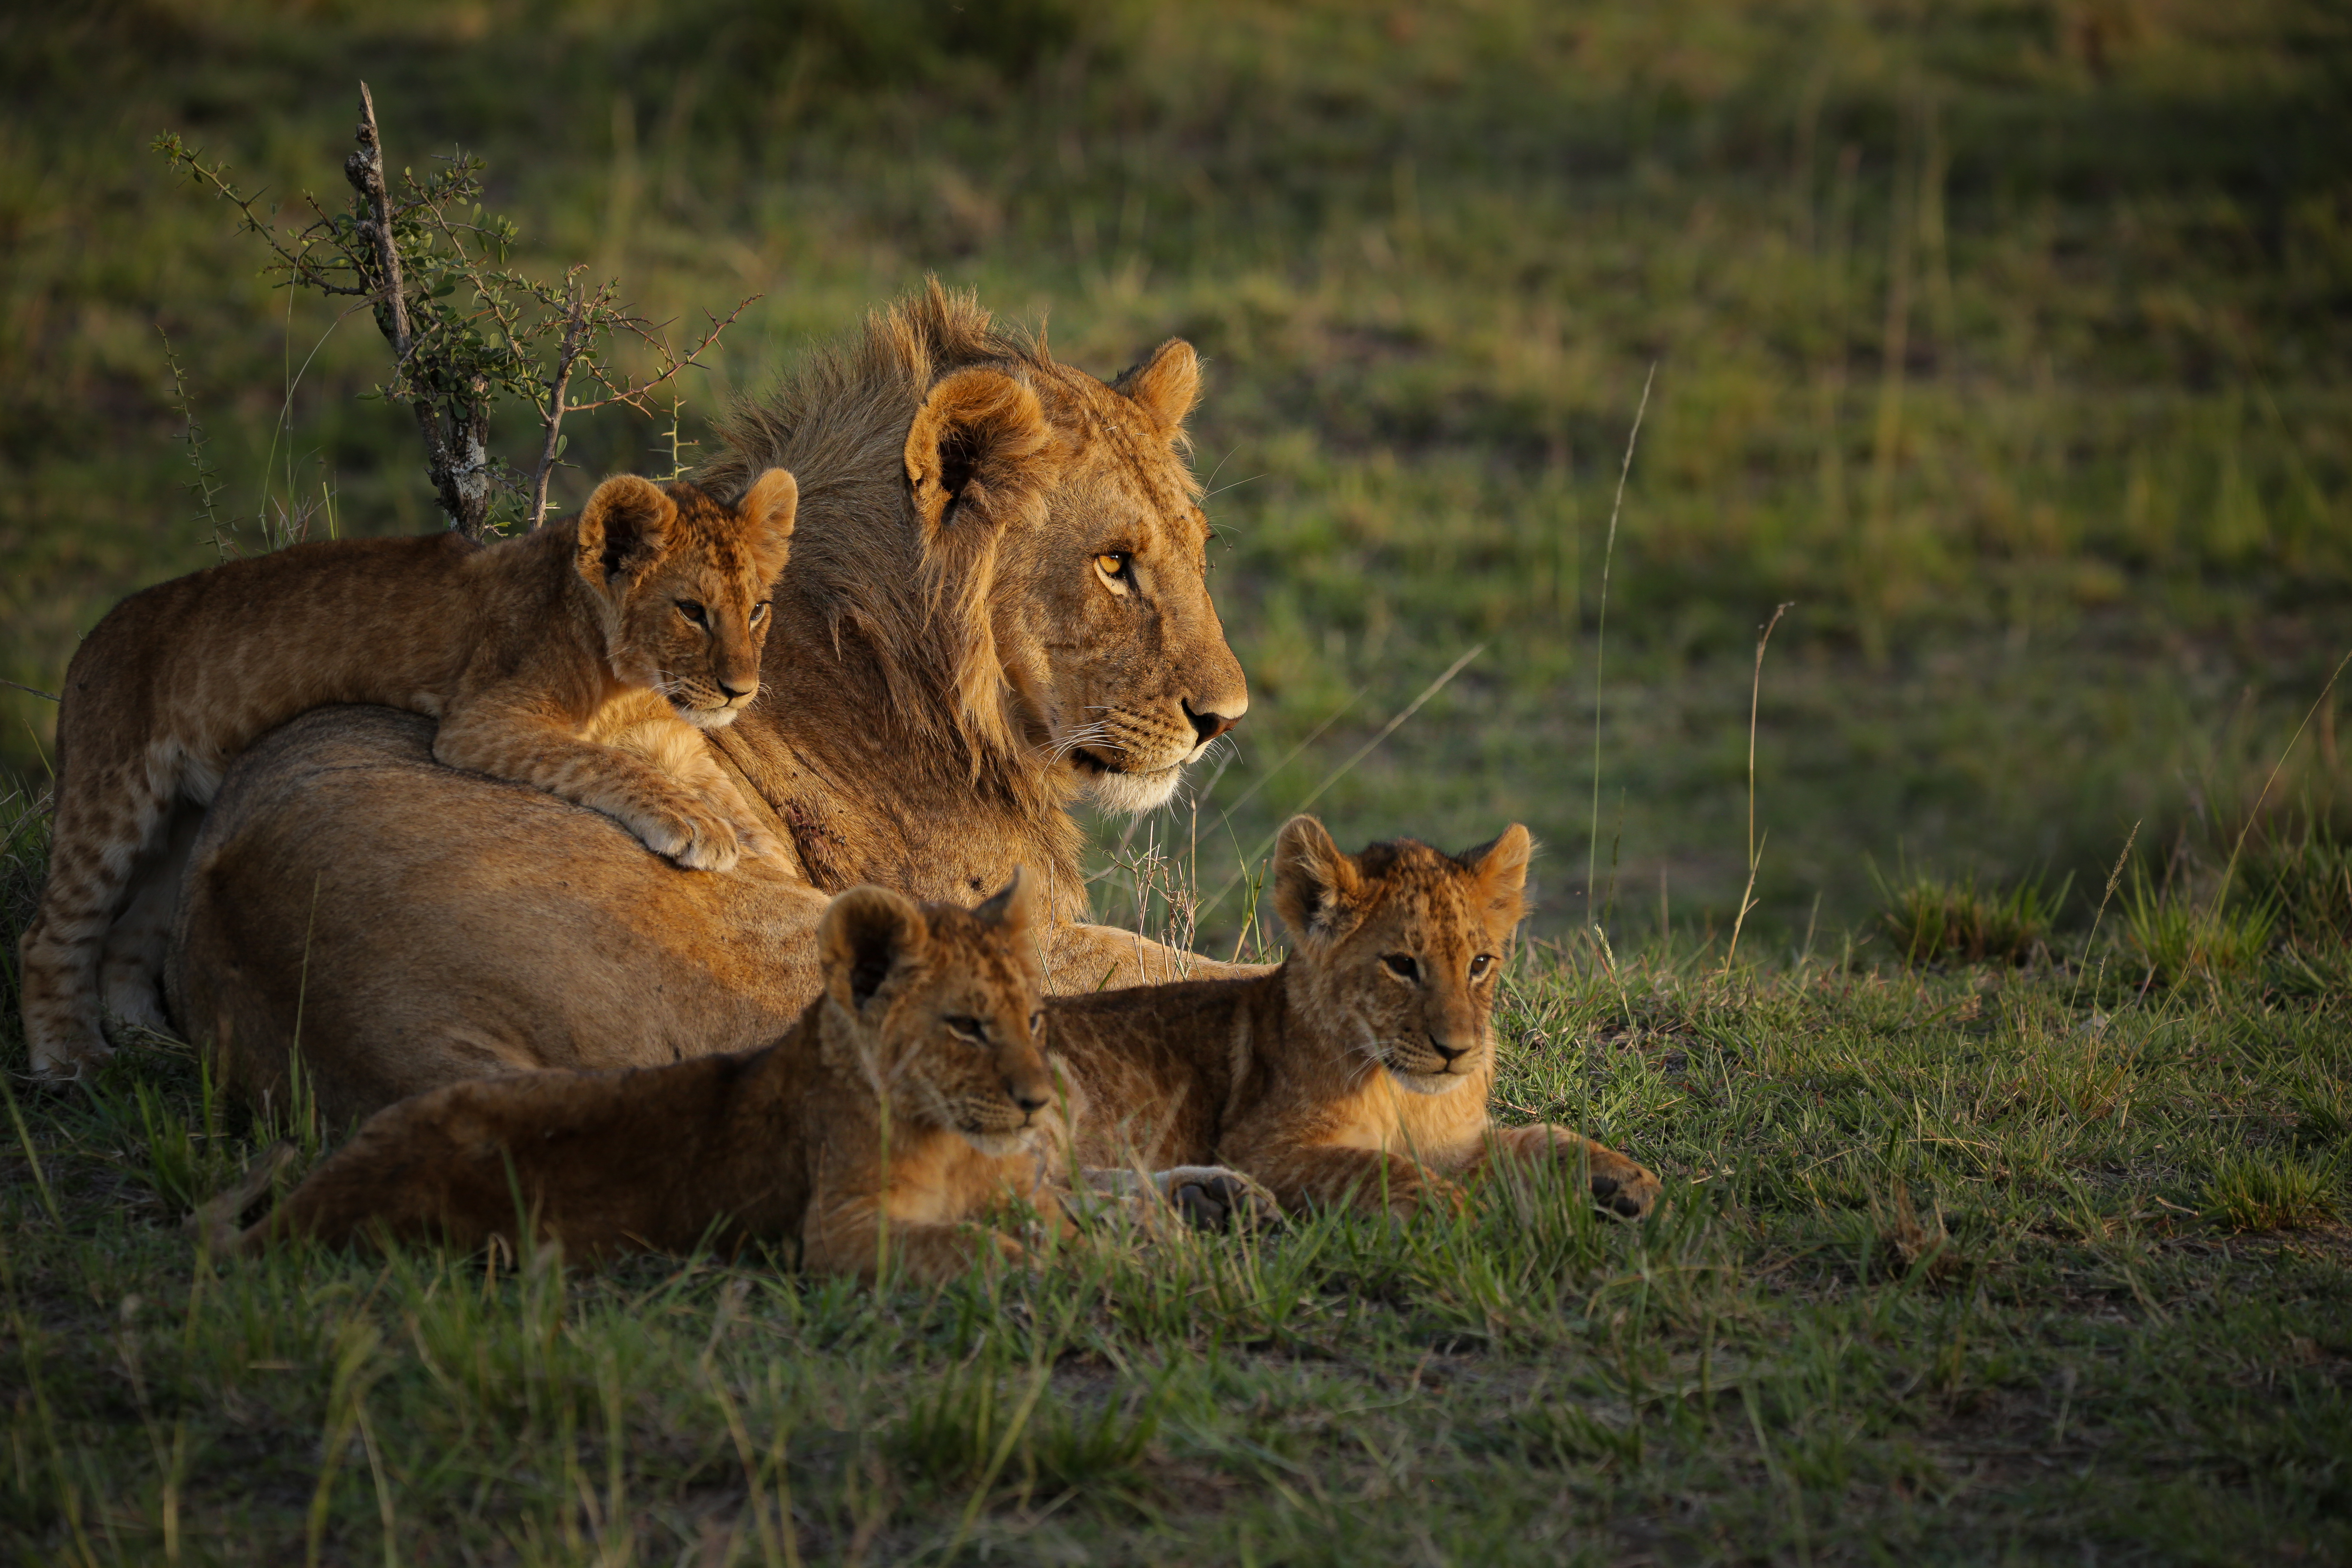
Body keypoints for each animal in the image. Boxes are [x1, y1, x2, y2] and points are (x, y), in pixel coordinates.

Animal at [20, 470, 796, 1079]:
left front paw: (770, 858)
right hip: (111, 797)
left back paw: (155, 1046)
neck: (628, 680)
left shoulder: (670, 735)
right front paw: (697, 827)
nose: (742, 691)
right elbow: (603, 761)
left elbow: (726, 793)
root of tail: (94, 636)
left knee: (128, 939)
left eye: (757, 608)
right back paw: (72, 1059)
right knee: (51, 935)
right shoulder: (482, 722)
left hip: (181, 828)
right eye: (691, 611)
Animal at [214, 875, 1080, 1284]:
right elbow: (978, 1245)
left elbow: (1079, 1229)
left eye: (1034, 1020)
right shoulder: (833, 1235)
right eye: (966, 1026)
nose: (1039, 1104)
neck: (955, 1146)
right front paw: (1041, 1268)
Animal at [1043, 817, 1664, 1220]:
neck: (1403, 1093)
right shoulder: (1260, 1146)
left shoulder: (1456, 1142)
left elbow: (1539, 1136)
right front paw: (1455, 1211)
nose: (1457, 1051)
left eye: (1480, 964)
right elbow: (1380, 1169)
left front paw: (1624, 1177)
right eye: (1401, 965)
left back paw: (1210, 1200)